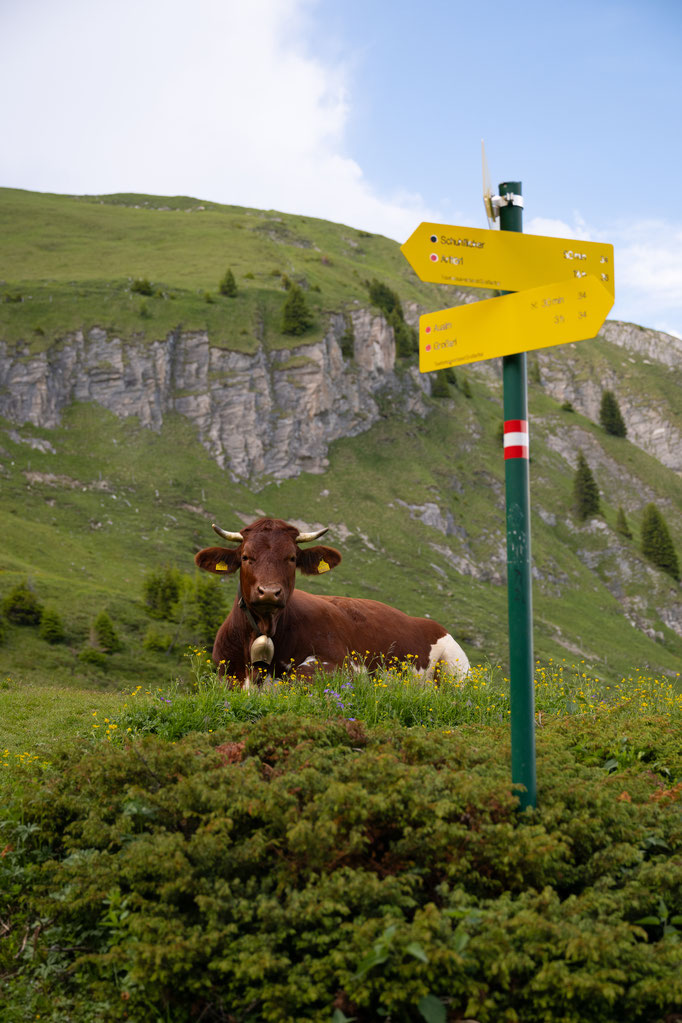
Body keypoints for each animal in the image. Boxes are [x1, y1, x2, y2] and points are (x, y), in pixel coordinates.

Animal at [194, 516, 470, 687]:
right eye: (245, 557)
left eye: (292, 557)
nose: (269, 592)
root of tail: (428, 623)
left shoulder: (342, 663)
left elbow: (299, 675)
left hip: (458, 669)